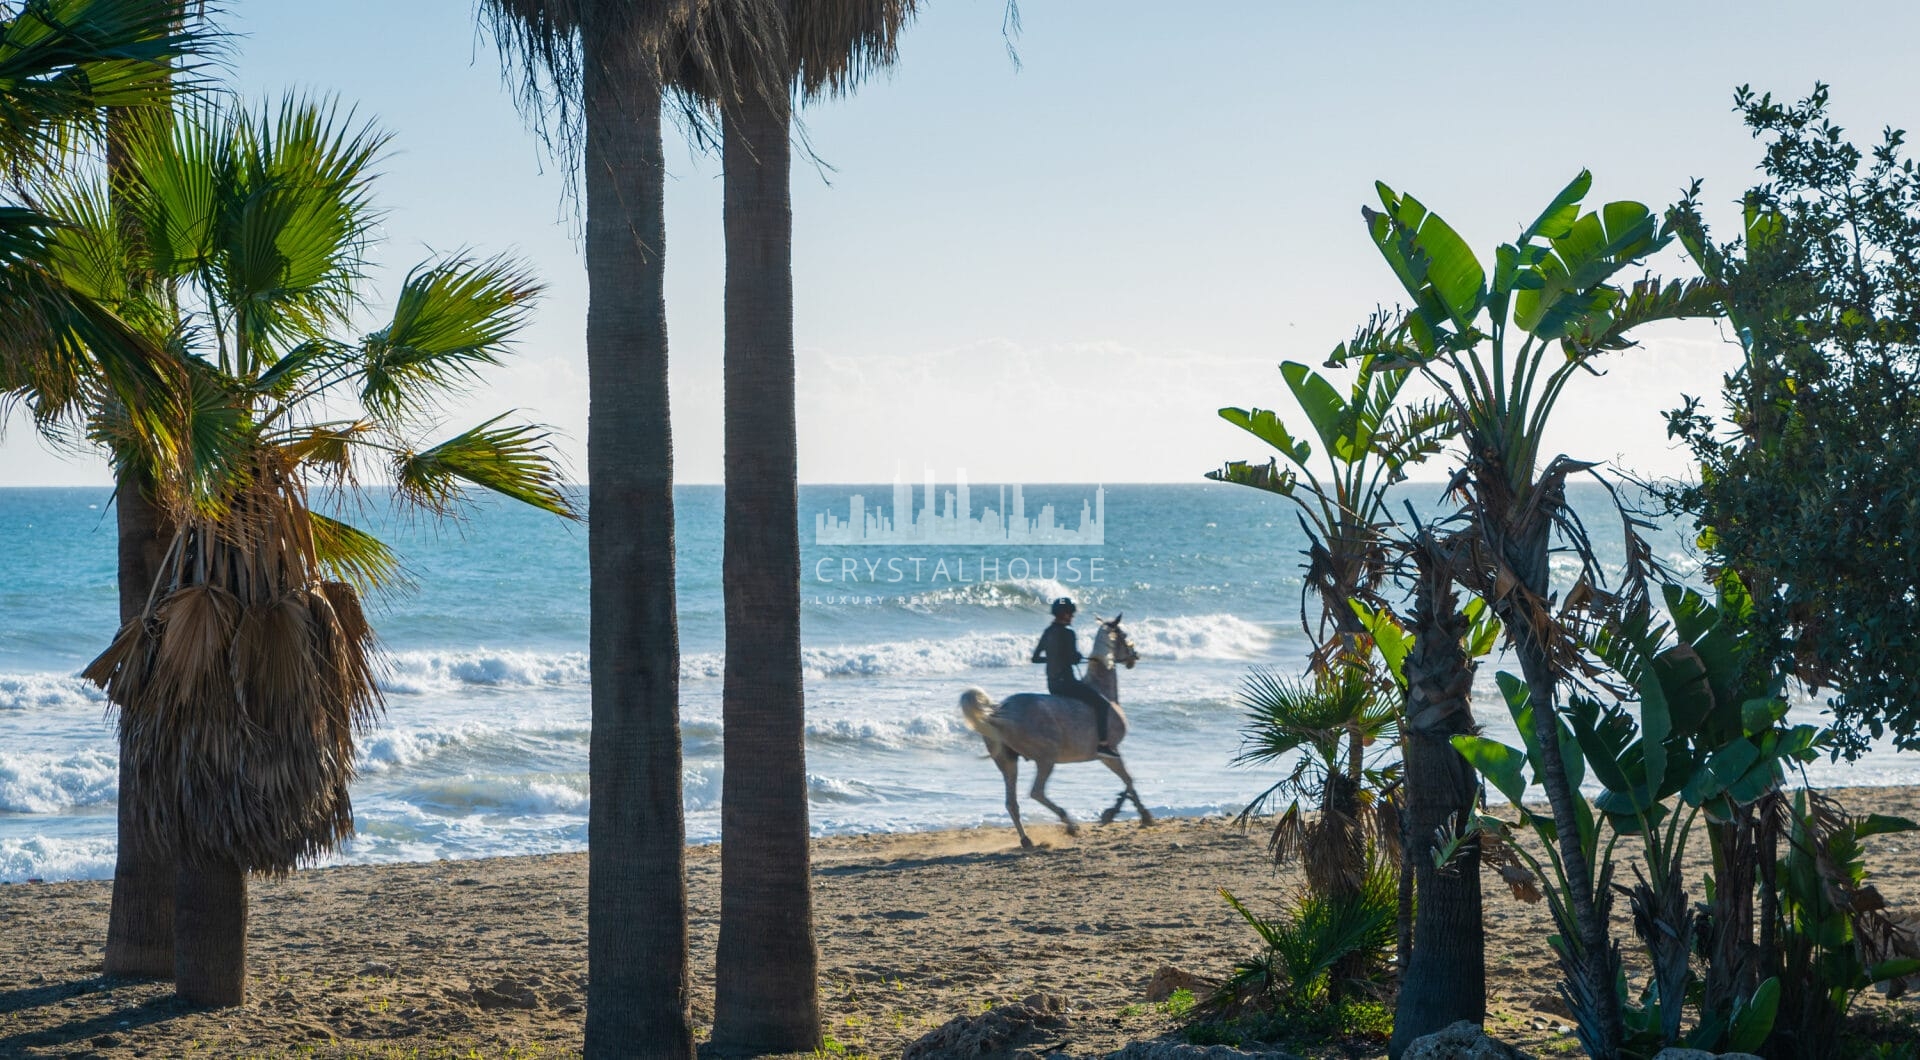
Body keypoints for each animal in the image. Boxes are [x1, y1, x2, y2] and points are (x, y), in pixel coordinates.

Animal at [952, 606, 1144, 848]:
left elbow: (1128, 781)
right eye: (1124, 635)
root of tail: (999, 711)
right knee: (1036, 792)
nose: (1134, 657)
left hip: (1008, 762)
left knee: (1011, 802)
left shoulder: (1106, 756)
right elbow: (1129, 781)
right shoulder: (1109, 753)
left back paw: (1027, 840)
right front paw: (1126, 814)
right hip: (1046, 759)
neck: (1102, 691)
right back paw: (1069, 824)